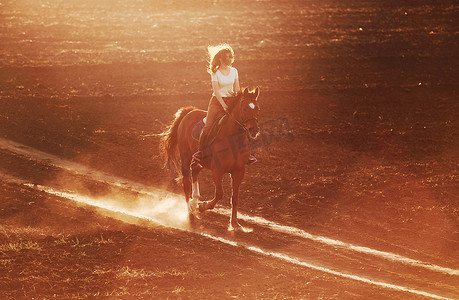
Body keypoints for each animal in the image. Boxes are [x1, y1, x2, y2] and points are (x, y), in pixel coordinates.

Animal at [161, 88, 262, 231]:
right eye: (244, 108)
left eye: (257, 108)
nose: (253, 129)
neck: (233, 140)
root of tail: (189, 112)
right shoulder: (217, 170)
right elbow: (219, 193)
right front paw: (203, 206)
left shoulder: (239, 171)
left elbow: (235, 197)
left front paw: (235, 224)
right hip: (185, 156)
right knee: (186, 182)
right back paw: (190, 215)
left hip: (200, 161)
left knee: (195, 170)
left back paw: (194, 202)